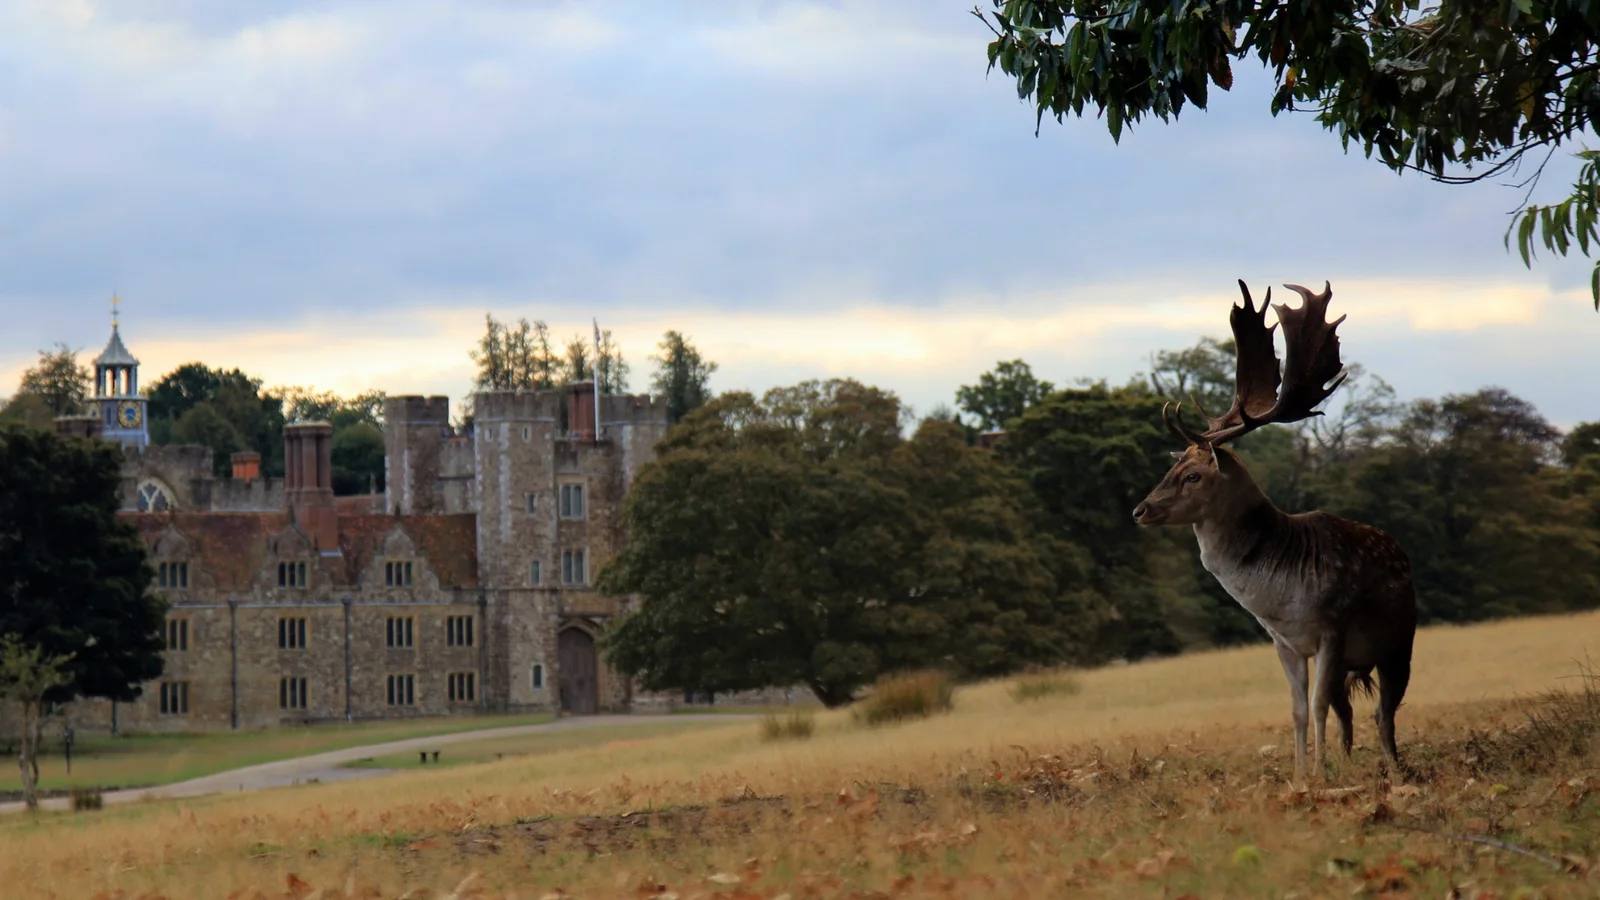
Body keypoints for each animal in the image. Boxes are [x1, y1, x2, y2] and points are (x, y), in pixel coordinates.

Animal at [1131, 281, 1417, 786]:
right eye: (1172, 467)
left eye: (1193, 476)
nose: (1140, 510)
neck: (1279, 598)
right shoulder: (1284, 642)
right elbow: (1299, 710)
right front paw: (1302, 775)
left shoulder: (1331, 627)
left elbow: (1318, 707)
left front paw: (1318, 774)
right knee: (1350, 713)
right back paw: (1348, 762)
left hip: (1400, 640)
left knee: (1384, 713)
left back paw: (1394, 772)